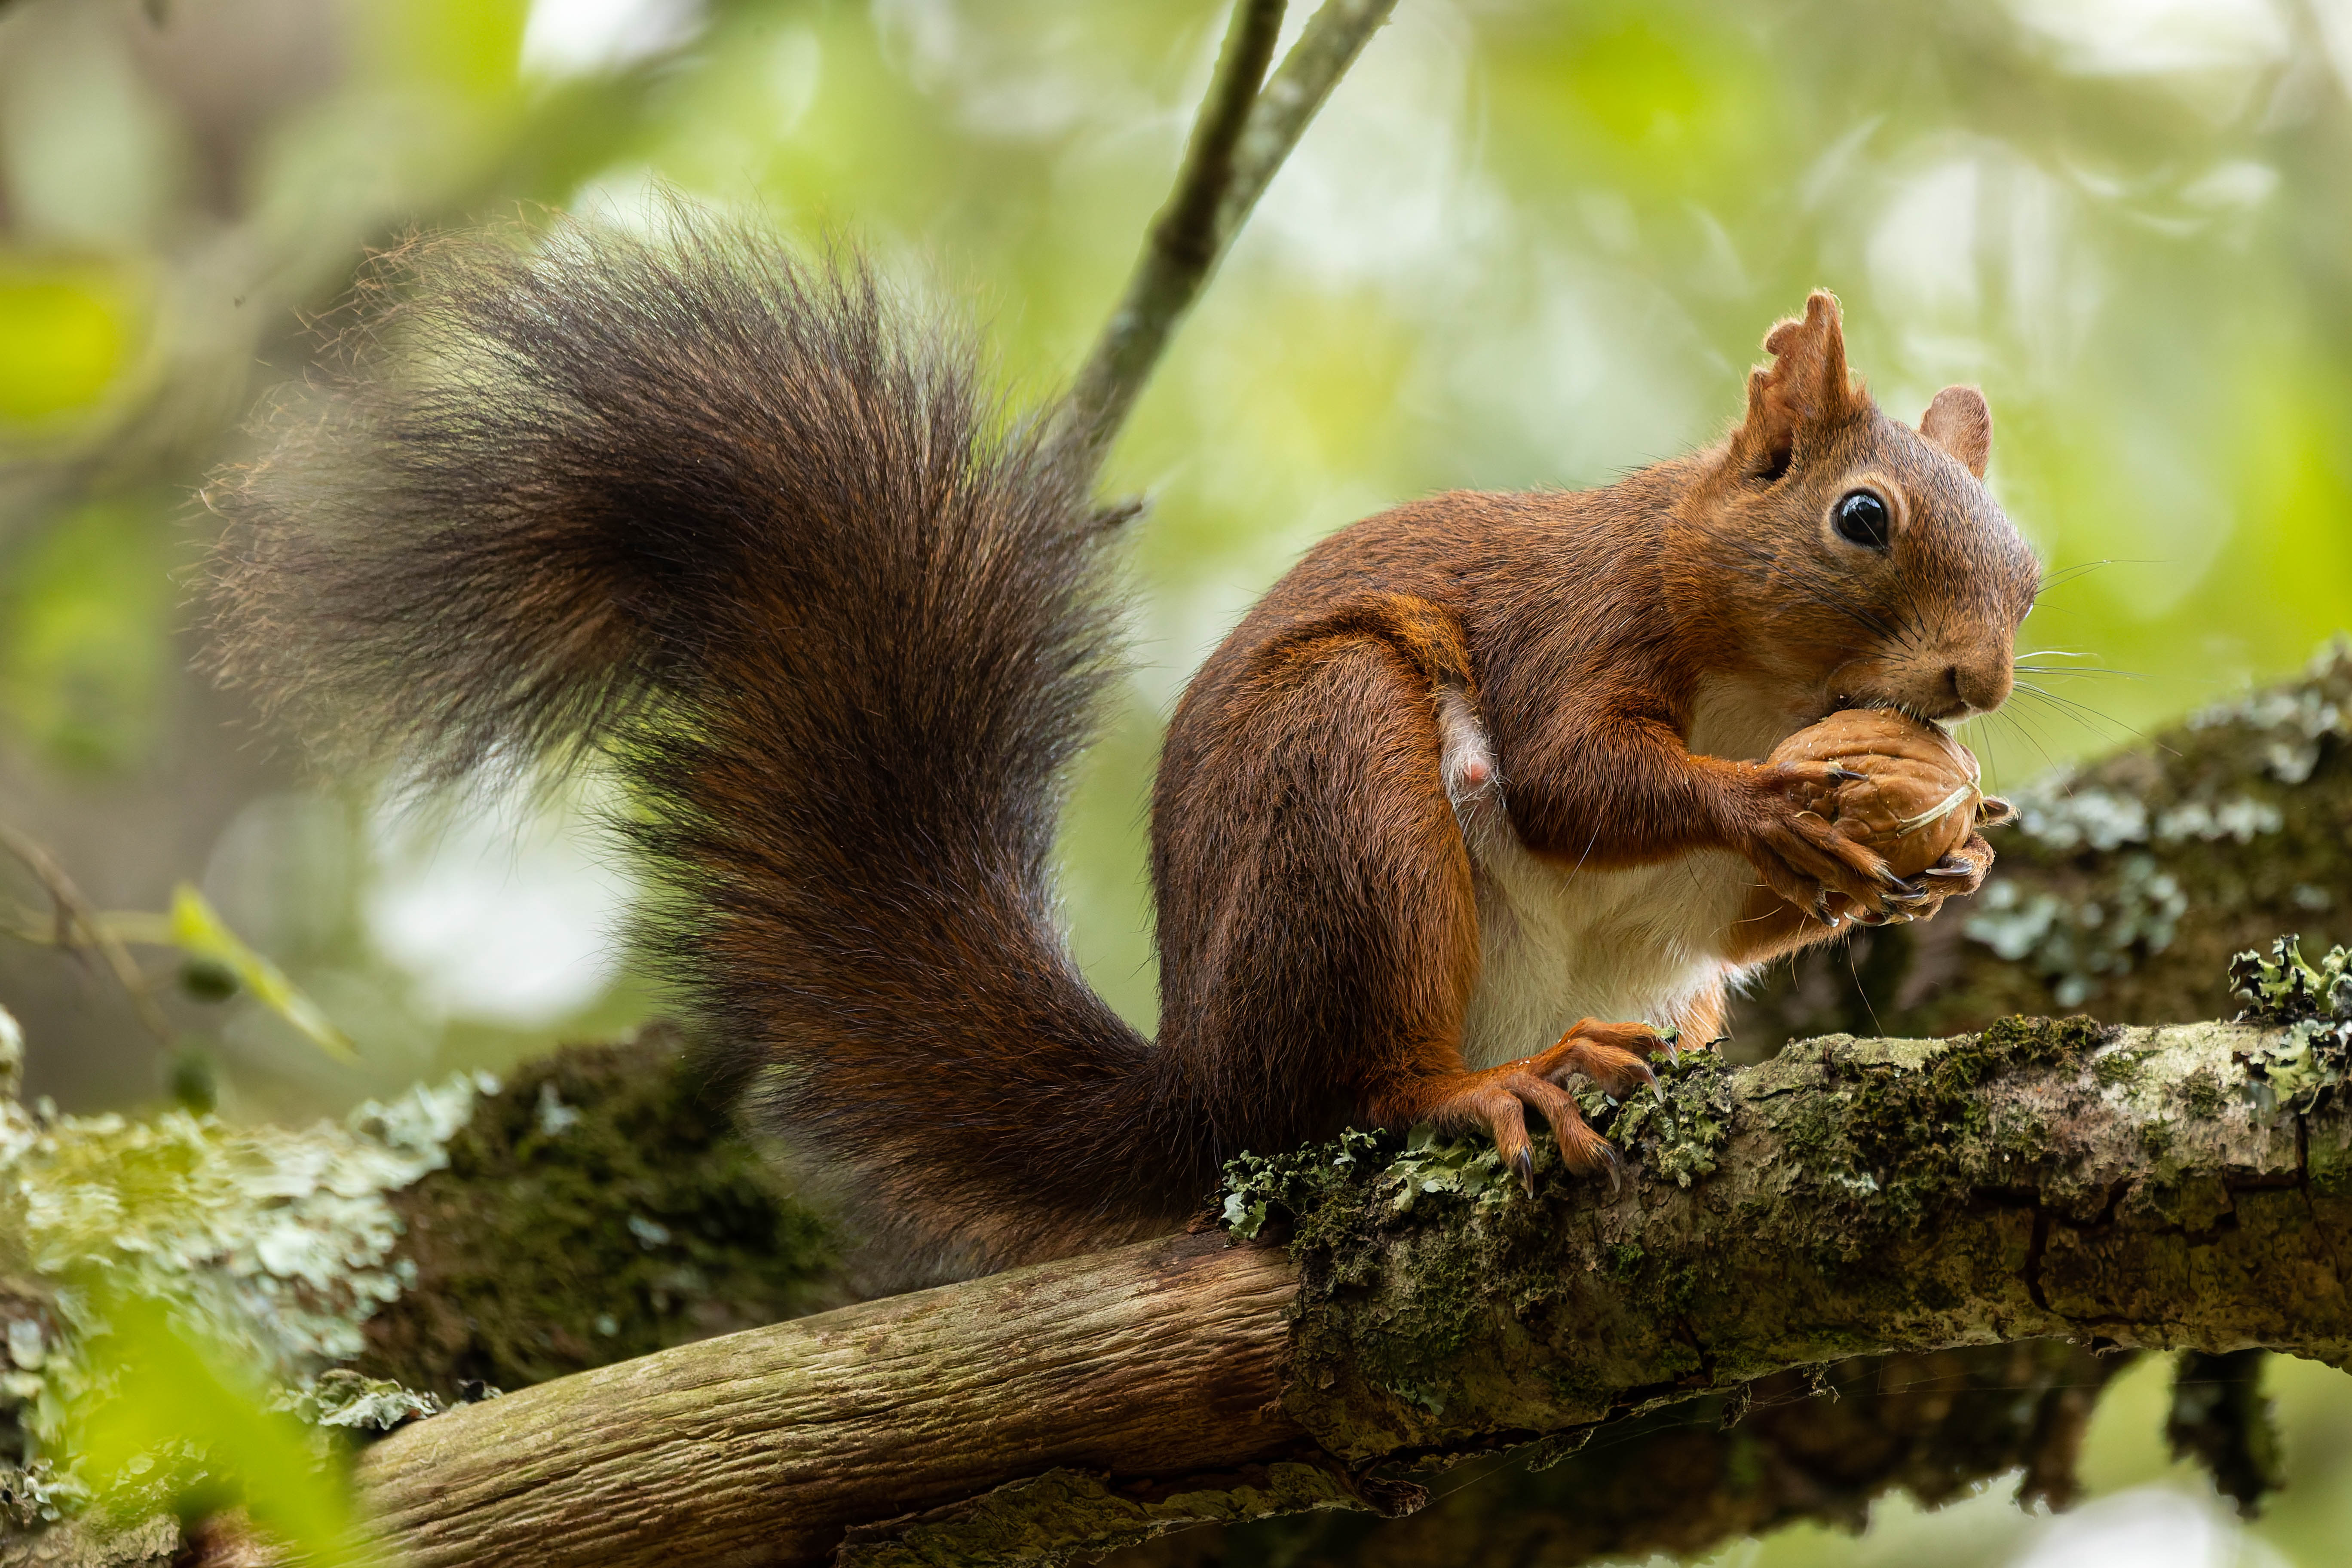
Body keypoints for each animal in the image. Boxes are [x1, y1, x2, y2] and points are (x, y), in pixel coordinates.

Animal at [205, 212, 2039, 1274]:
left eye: (2022, 563)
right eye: (1860, 517)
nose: (1979, 676)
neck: (1761, 671)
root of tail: (1201, 1080)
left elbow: (1732, 898)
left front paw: (1937, 849)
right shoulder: (1572, 624)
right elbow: (1578, 779)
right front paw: (1778, 799)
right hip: (1341, 795)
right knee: (1350, 1086)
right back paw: (1478, 1086)